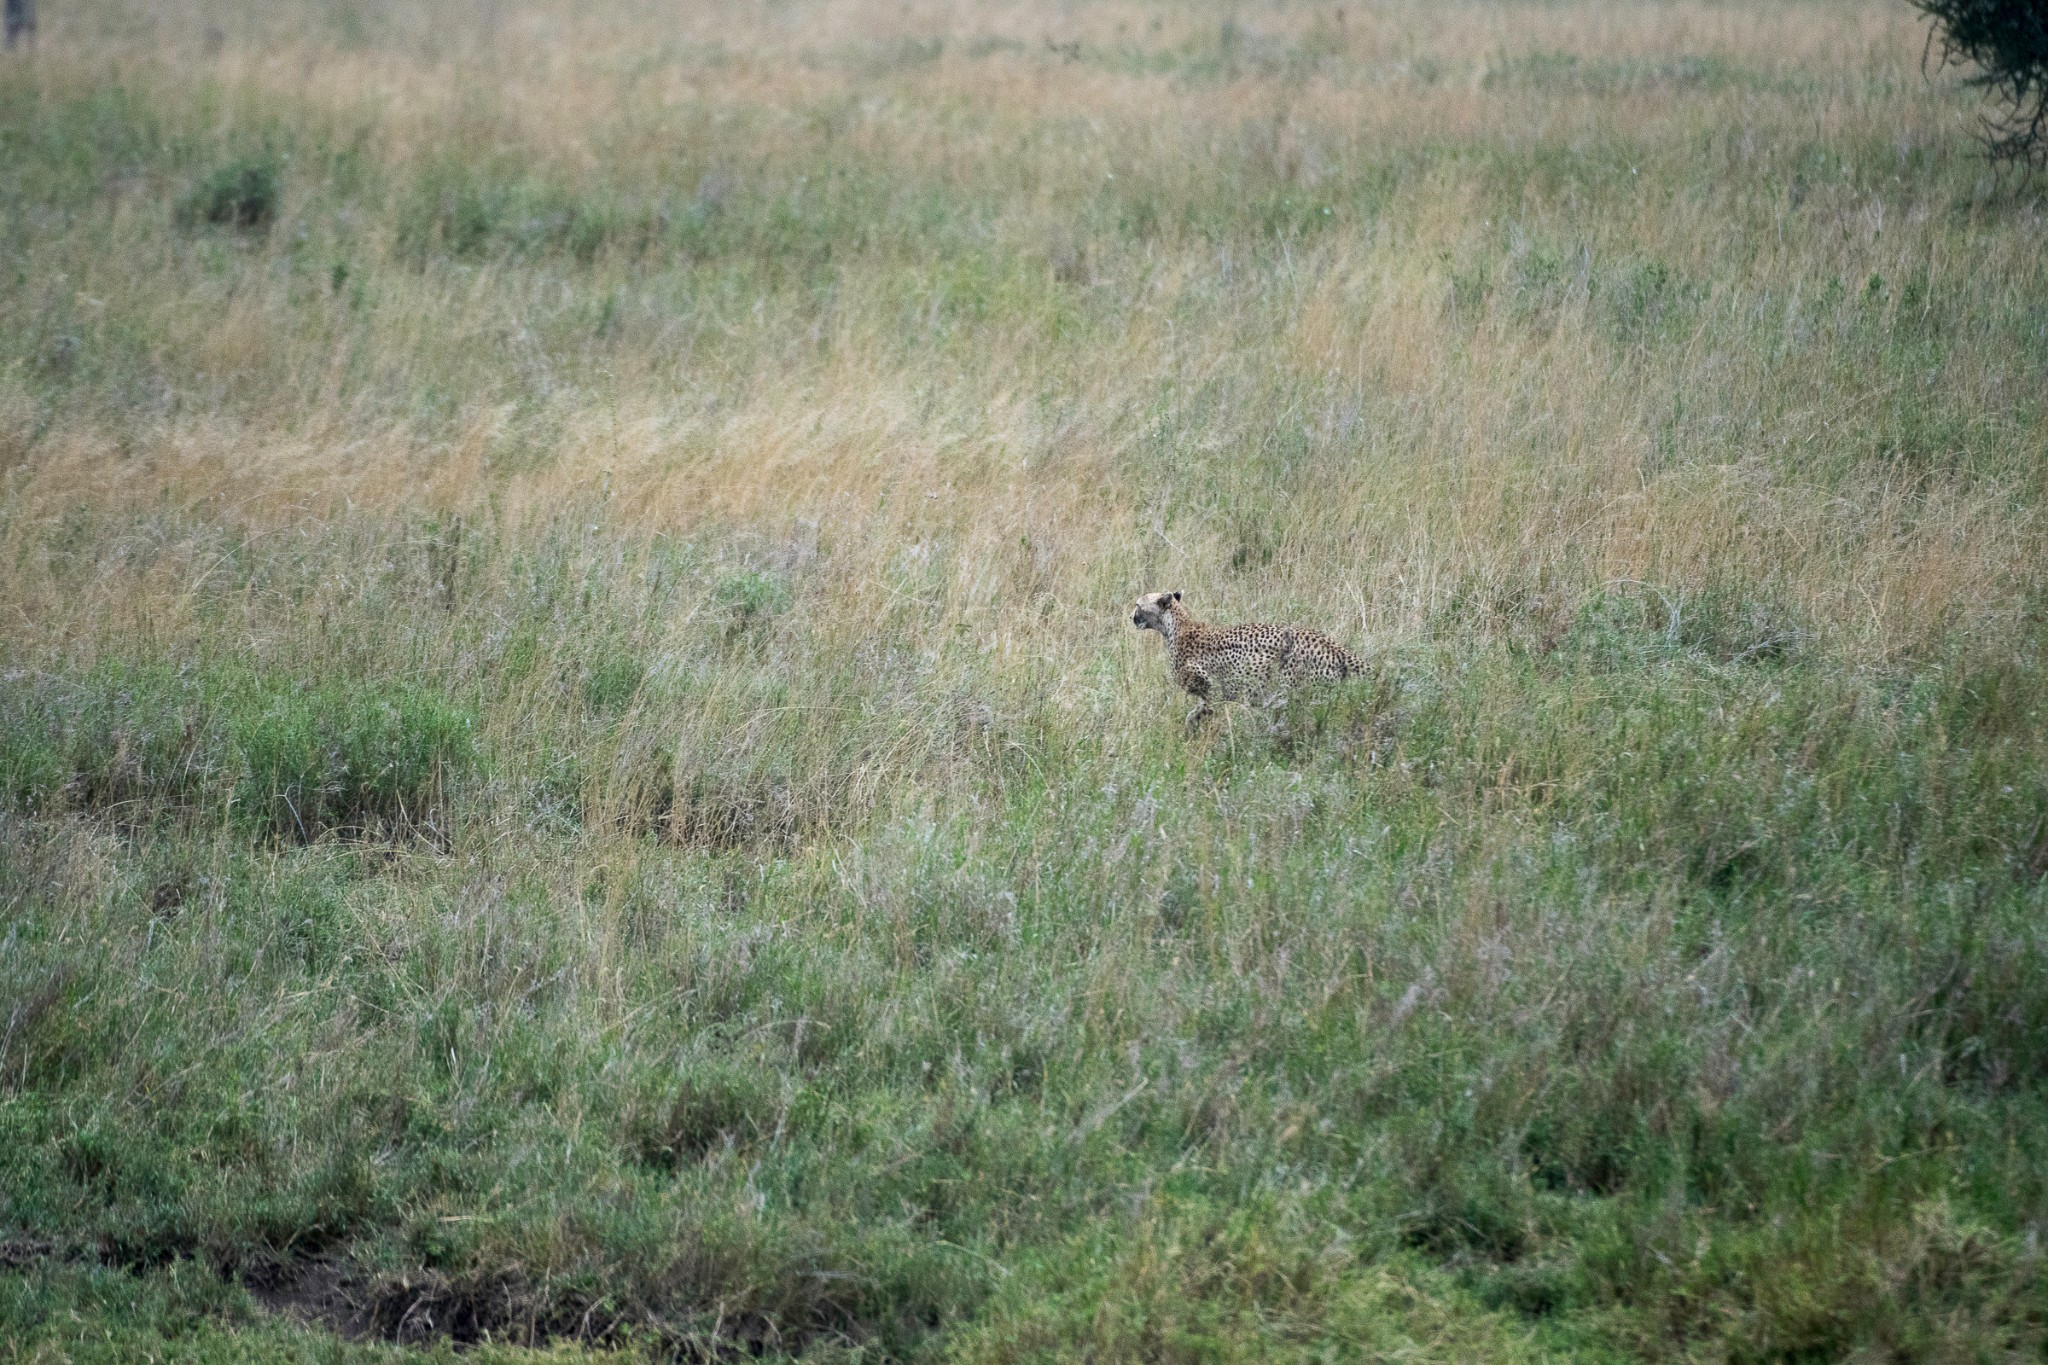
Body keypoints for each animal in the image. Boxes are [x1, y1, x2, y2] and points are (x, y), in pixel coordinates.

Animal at [1130, 593, 1368, 732]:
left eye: (1138, 605)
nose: (1132, 616)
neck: (1174, 625)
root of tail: (1329, 642)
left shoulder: (1213, 687)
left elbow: (1204, 708)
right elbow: (1194, 713)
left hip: (1288, 692)